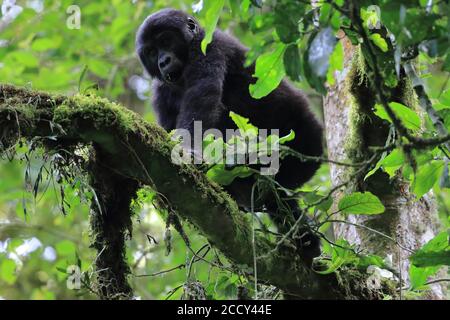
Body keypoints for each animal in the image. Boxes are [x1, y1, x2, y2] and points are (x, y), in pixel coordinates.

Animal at [136, 8, 324, 264]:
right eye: (151, 52)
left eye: (165, 41)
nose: (163, 61)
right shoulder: (161, 92)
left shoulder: (208, 47)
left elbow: (202, 99)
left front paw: (190, 153)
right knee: (273, 197)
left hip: (304, 141)